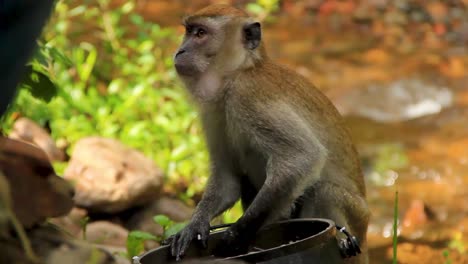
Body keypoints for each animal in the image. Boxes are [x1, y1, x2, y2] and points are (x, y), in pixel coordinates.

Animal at [170, 4, 372, 264]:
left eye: (200, 33)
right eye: (189, 31)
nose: (180, 51)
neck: (239, 72)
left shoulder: (248, 96)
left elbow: (302, 157)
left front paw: (236, 236)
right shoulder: (212, 112)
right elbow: (227, 180)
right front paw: (195, 226)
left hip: (357, 216)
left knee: (323, 191)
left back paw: (343, 240)